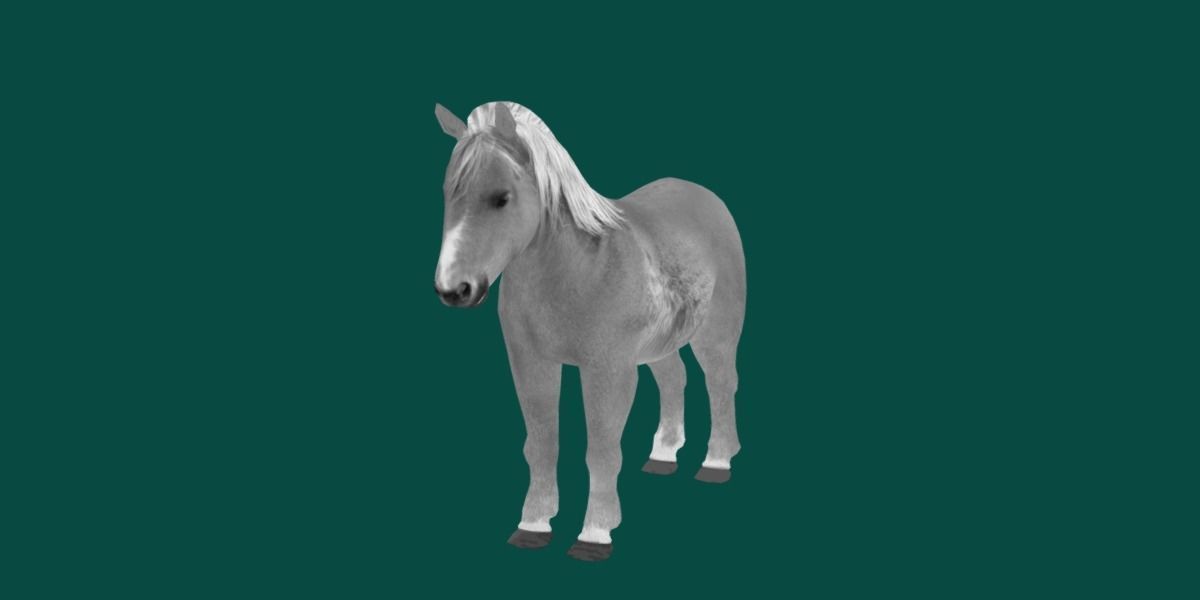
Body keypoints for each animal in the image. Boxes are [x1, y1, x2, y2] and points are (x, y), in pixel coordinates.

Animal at [431, 101, 746, 561]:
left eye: (501, 198)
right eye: (447, 195)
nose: (454, 290)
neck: (578, 271)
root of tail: (706, 196)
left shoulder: (607, 371)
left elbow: (601, 449)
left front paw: (595, 534)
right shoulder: (531, 364)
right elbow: (541, 443)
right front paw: (533, 525)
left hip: (715, 335)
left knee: (720, 384)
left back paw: (716, 463)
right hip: (658, 345)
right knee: (675, 379)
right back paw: (664, 455)